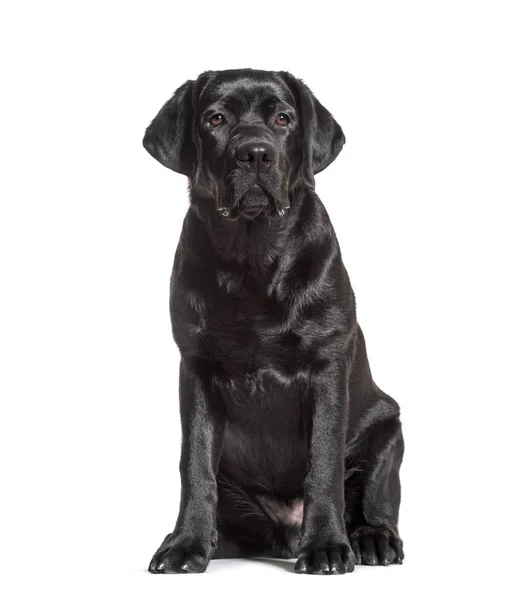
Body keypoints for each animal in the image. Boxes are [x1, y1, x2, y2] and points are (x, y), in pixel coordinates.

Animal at [143, 68, 406, 576]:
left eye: (283, 118)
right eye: (216, 119)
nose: (255, 152)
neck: (253, 256)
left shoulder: (326, 368)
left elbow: (323, 464)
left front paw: (325, 546)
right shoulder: (197, 368)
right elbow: (195, 464)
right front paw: (185, 544)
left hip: (388, 430)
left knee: (374, 501)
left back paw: (371, 539)